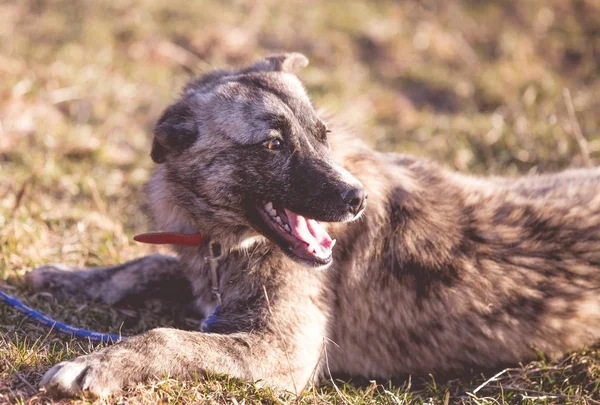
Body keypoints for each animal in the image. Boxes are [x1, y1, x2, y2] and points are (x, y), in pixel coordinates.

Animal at [27, 53, 600, 398]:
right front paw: (67, 277)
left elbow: (170, 337)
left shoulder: (283, 351)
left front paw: (99, 364)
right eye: (272, 144)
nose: (356, 199)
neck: (231, 242)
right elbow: (145, 263)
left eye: (321, 136)